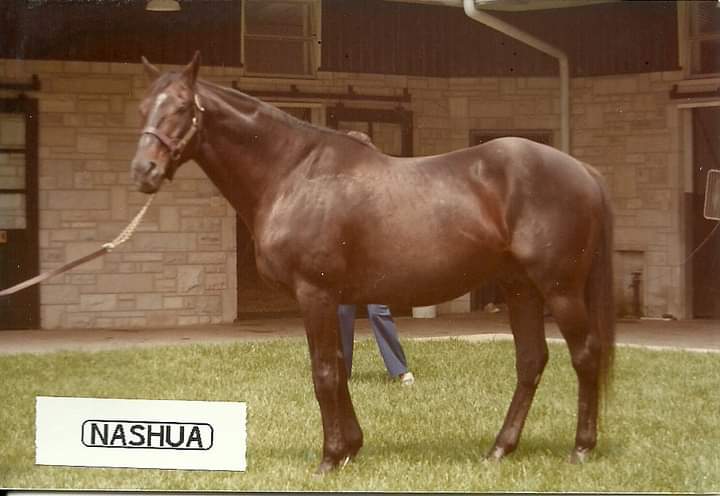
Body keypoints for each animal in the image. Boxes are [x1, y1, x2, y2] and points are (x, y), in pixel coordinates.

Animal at [131, 53, 615, 473]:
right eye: (142, 108)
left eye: (181, 106)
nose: (143, 171)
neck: (293, 173)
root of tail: (584, 172)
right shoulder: (332, 299)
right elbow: (338, 365)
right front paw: (350, 447)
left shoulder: (314, 293)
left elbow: (324, 372)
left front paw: (330, 458)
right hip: (521, 288)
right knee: (531, 361)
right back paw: (500, 449)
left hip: (559, 289)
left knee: (585, 355)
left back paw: (581, 448)